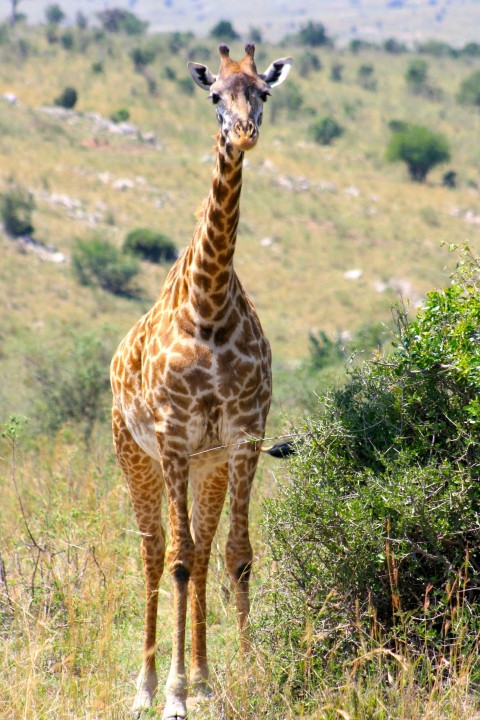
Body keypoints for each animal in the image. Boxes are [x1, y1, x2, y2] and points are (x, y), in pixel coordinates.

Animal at [110, 43, 293, 719]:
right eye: (215, 94)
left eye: (262, 92)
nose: (243, 133)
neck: (209, 306)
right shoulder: (171, 437)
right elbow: (179, 559)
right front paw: (174, 694)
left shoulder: (242, 435)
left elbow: (237, 555)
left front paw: (248, 673)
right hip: (134, 453)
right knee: (156, 550)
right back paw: (145, 686)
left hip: (205, 465)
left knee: (206, 547)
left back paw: (207, 677)